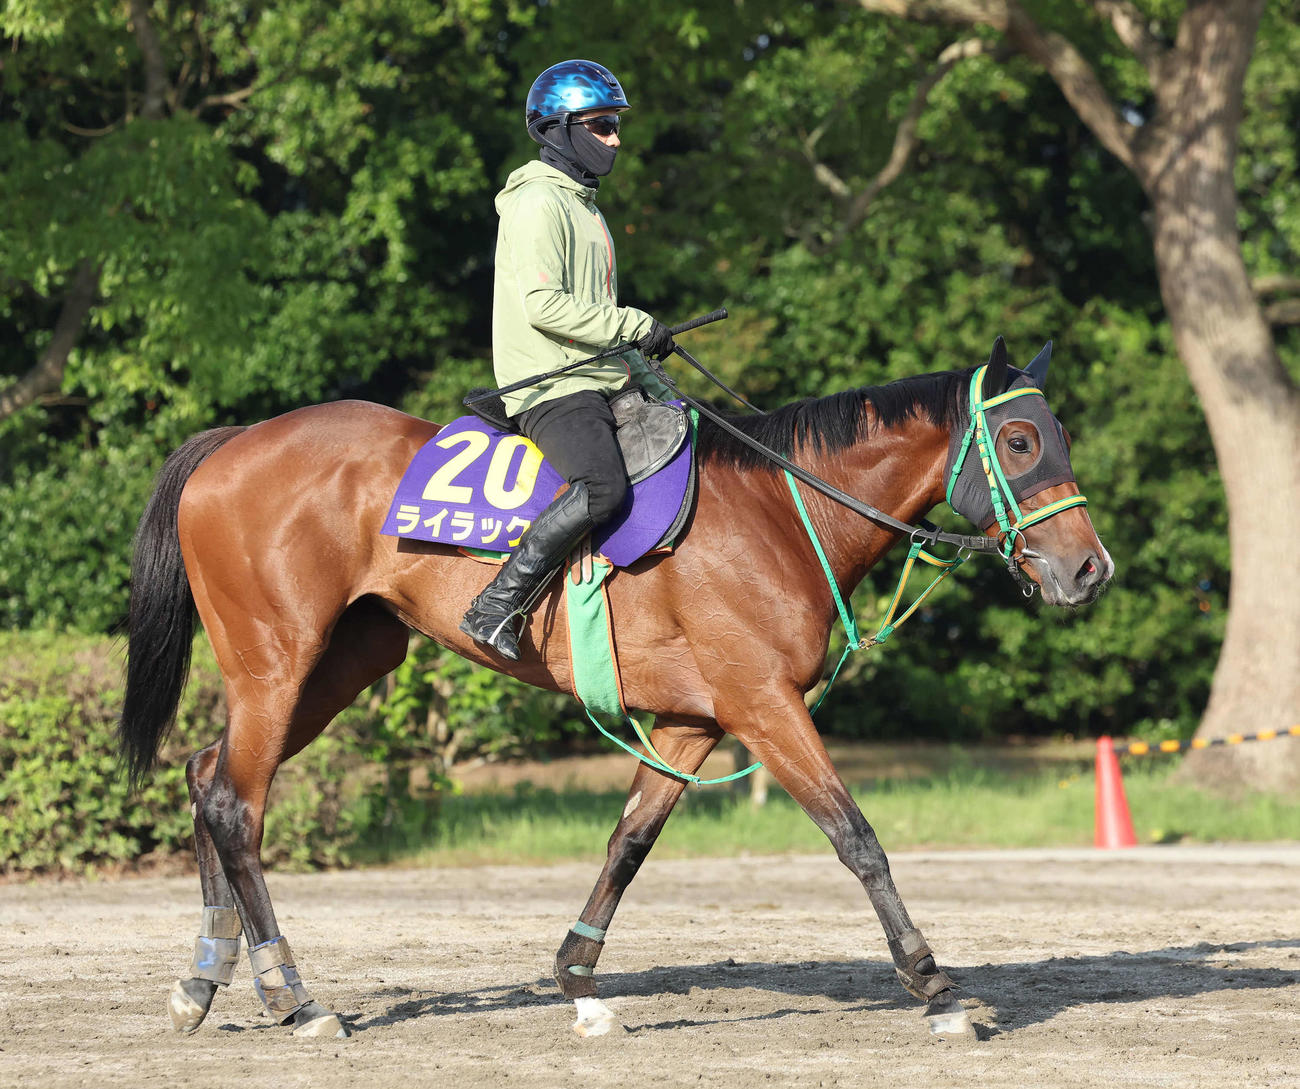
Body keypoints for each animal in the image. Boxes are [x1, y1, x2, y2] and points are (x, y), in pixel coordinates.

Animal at [118, 337, 1112, 1041]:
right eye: (1020, 439)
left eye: (1062, 435)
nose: (1088, 569)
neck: (779, 510)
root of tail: (234, 442)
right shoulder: (763, 705)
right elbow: (857, 837)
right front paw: (934, 984)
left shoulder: (690, 721)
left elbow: (628, 842)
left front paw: (579, 981)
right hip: (277, 662)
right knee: (237, 803)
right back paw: (292, 993)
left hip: (340, 665)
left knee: (206, 777)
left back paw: (204, 978)